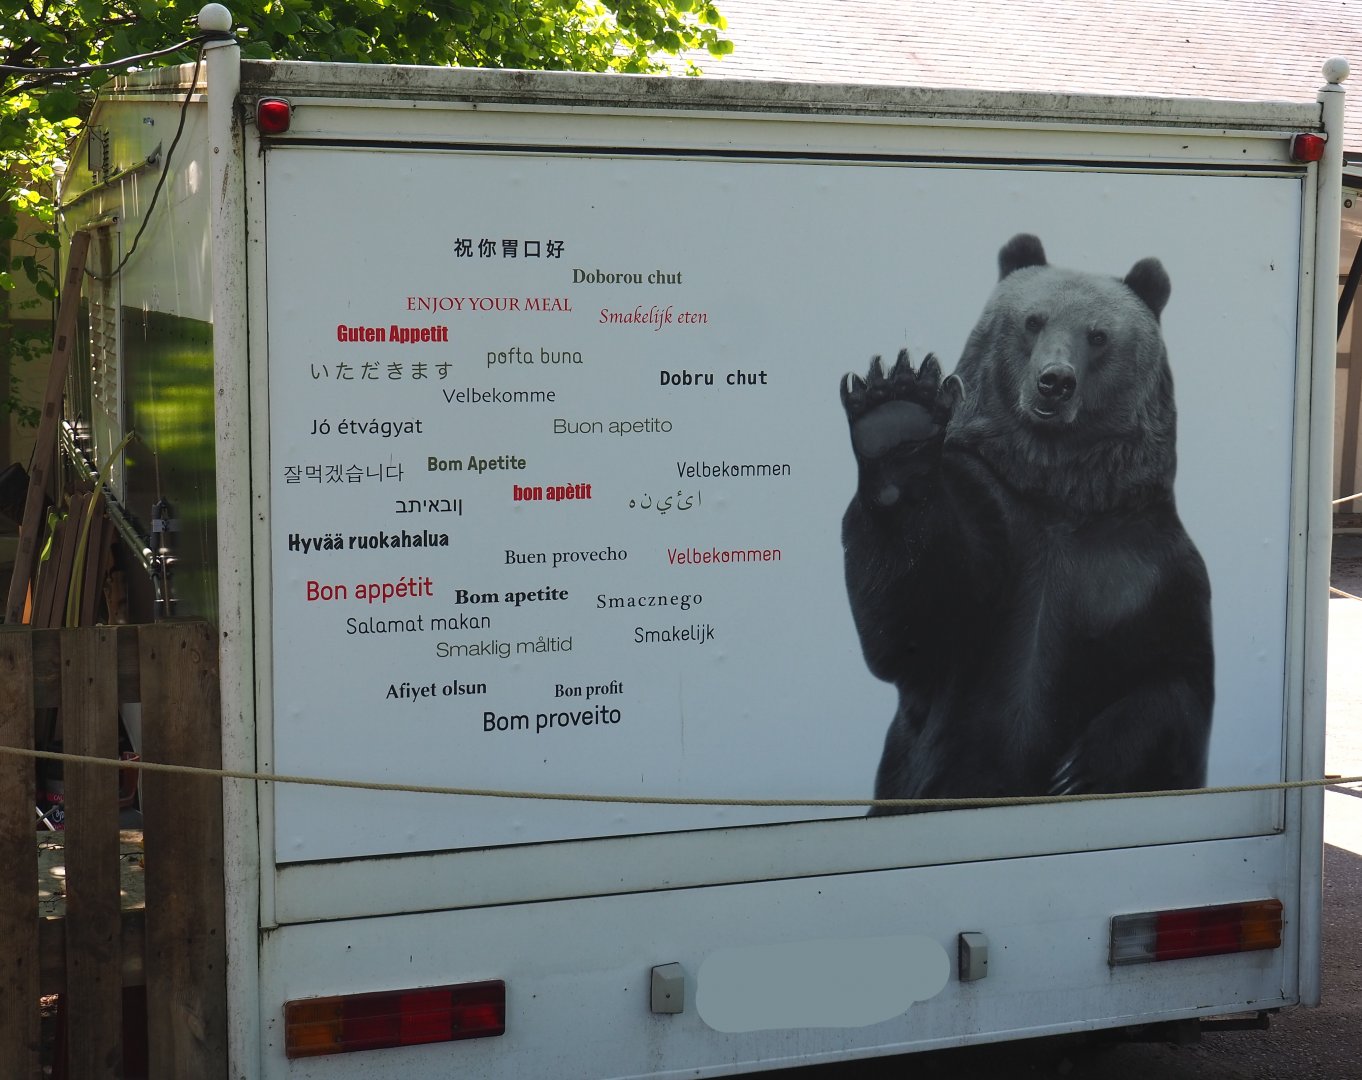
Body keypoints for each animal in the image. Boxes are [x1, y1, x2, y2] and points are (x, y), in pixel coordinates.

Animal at [839, 234, 1213, 813]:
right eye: (1033, 320)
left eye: (1098, 335)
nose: (1054, 382)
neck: (1058, 493)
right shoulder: (989, 520)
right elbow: (912, 629)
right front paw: (896, 415)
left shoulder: (1148, 565)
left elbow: (1177, 677)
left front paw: (1078, 770)